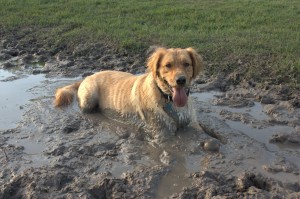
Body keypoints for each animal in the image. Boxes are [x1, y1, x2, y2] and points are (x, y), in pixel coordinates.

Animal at [54, 47, 204, 141]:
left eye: (186, 64)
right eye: (168, 65)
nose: (181, 80)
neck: (167, 99)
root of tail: (86, 77)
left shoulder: (194, 126)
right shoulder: (162, 134)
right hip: (88, 99)